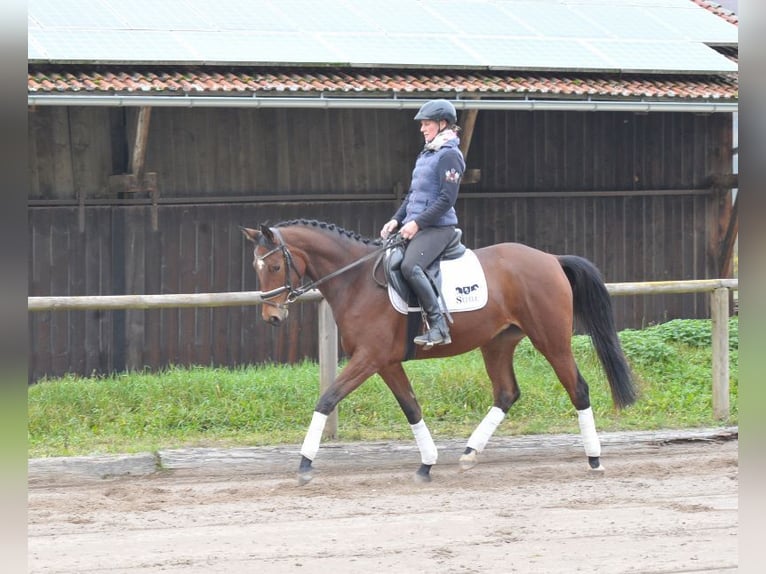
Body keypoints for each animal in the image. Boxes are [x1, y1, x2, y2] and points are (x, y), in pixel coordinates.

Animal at [242, 219, 636, 486]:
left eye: (274, 266)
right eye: (256, 267)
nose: (272, 317)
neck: (356, 281)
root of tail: (551, 259)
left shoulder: (368, 359)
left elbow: (327, 399)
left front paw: (304, 465)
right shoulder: (385, 362)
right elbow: (411, 407)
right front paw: (426, 464)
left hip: (551, 340)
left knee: (577, 388)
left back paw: (594, 459)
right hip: (497, 343)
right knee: (507, 393)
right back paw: (470, 454)